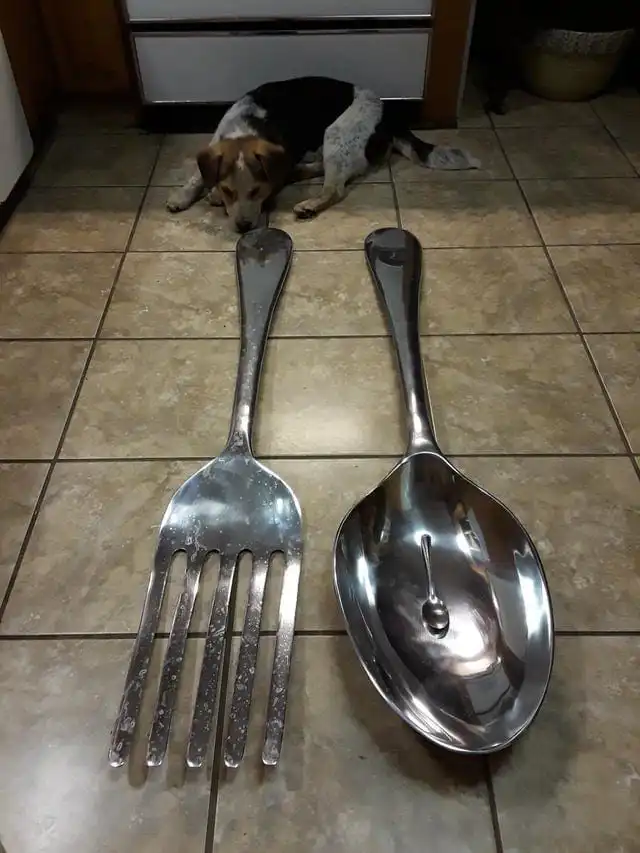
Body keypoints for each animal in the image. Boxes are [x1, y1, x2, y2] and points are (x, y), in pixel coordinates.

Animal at [167, 76, 480, 233]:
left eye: (257, 191)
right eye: (231, 191)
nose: (243, 228)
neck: (246, 128)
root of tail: (389, 114)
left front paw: (212, 196)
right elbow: (197, 175)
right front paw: (186, 195)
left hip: (336, 135)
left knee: (335, 188)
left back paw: (309, 204)